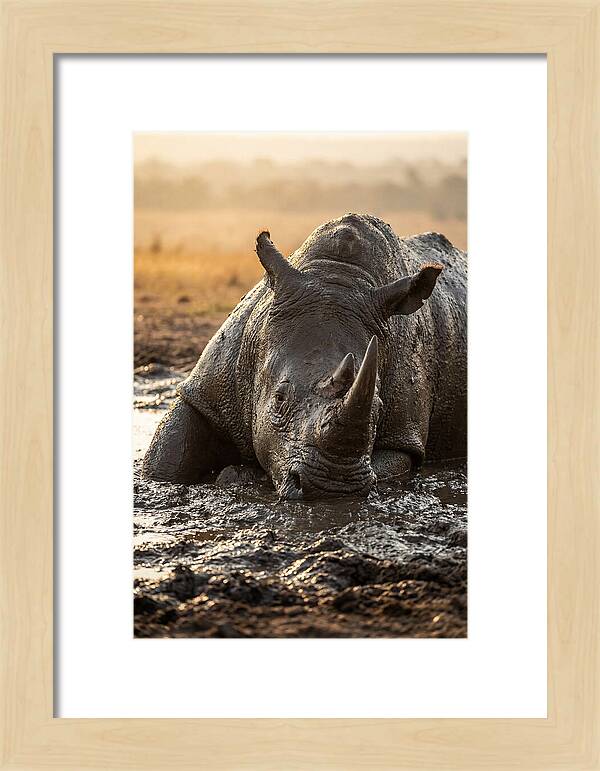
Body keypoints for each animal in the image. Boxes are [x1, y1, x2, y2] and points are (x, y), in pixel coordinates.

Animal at [142, 214, 467, 499]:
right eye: (279, 399)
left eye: (378, 408)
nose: (332, 487)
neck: (338, 276)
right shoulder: (206, 390)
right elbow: (166, 459)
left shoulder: (403, 436)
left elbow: (391, 463)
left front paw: (239, 475)